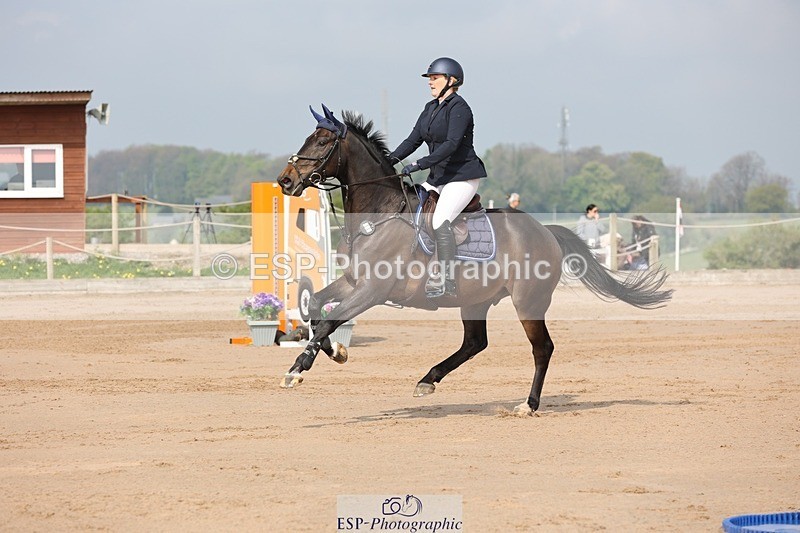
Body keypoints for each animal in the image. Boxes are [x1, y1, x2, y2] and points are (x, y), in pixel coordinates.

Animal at [275, 104, 673, 415]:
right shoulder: (354, 282)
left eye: (322, 142)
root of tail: (545, 230)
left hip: (528, 301)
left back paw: (528, 404)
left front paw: (297, 369)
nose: (285, 181)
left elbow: (329, 319)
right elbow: (316, 308)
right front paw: (336, 351)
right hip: (475, 299)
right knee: (475, 343)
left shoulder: (373, 289)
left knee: (541, 348)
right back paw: (428, 380)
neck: (381, 211)